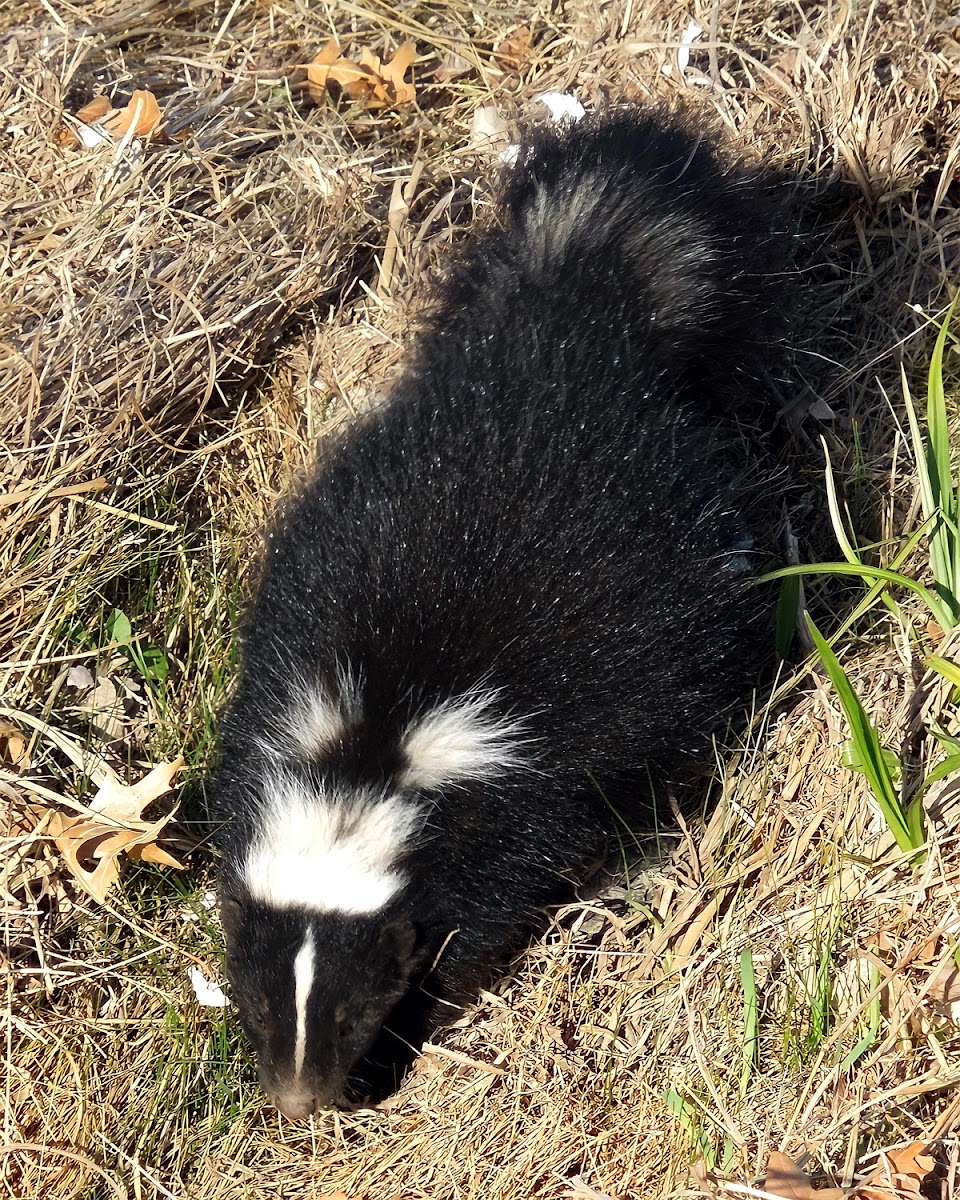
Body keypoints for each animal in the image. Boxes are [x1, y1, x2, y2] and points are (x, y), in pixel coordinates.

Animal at [207, 108, 796, 1118]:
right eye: (256, 1003)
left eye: (354, 1010)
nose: (298, 1099)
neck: (379, 747)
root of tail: (567, 321)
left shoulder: (512, 797)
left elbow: (490, 906)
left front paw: (427, 1019)